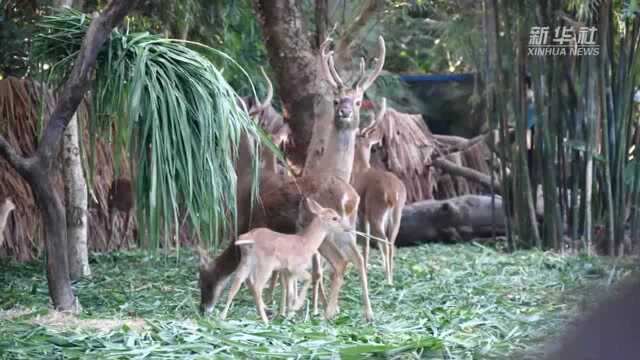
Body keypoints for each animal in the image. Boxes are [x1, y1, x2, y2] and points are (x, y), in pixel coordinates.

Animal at [219, 195, 350, 324]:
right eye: (334, 218)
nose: (347, 228)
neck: (307, 243)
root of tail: (248, 239)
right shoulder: (295, 267)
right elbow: (308, 278)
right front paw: (296, 307)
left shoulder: (288, 272)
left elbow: (290, 293)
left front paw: (290, 314)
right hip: (265, 264)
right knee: (257, 286)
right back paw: (265, 320)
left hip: (246, 261)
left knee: (236, 284)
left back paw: (223, 316)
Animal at [352, 98, 408, 284]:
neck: (360, 170)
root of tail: (393, 193)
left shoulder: (361, 211)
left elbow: (365, 241)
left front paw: (365, 267)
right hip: (397, 214)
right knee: (391, 242)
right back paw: (390, 276)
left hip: (376, 210)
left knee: (382, 242)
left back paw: (388, 278)